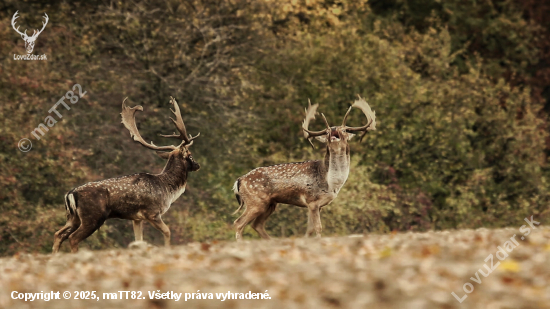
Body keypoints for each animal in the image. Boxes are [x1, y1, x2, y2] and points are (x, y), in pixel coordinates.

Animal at [52, 97, 201, 253]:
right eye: (190, 155)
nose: (198, 165)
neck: (167, 188)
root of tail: (70, 194)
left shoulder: (137, 218)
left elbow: (139, 240)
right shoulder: (152, 213)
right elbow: (167, 232)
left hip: (73, 218)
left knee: (58, 234)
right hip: (92, 217)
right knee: (73, 238)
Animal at [231, 95, 378, 239]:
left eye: (345, 130)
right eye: (326, 131)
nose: (333, 130)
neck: (330, 182)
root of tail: (239, 180)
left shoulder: (318, 205)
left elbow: (310, 229)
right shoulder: (312, 200)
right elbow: (318, 228)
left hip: (270, 203)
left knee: (257, 225)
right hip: (255, 201)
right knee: (238, 223)